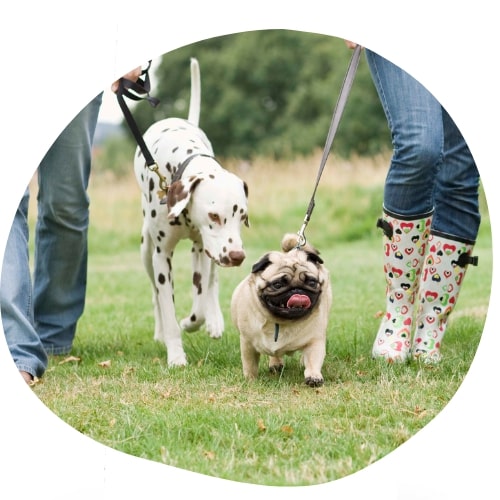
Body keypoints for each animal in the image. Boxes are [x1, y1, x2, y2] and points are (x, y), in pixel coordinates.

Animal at [134, 58, 249, 368]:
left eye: (242, 217)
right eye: (214, 216)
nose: (238, 256)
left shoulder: (203, 248)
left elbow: (199, 302)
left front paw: (193, 321)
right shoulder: (162, 257)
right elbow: (166, 306)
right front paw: (175, 354)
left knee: (212, 284)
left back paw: (215, 319)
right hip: (146, 251)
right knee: (154, 294)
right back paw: (160, 332)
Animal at [230, 234, 332, 386]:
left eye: (312, 282)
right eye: (277, 284)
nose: (297, 290)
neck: (282, 321)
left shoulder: (315, 340)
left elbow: (313, 359)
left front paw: (314, 376)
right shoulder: (247, 343)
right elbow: (250, 364)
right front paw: (250, 380)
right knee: (275, 354)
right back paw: (276, 364)